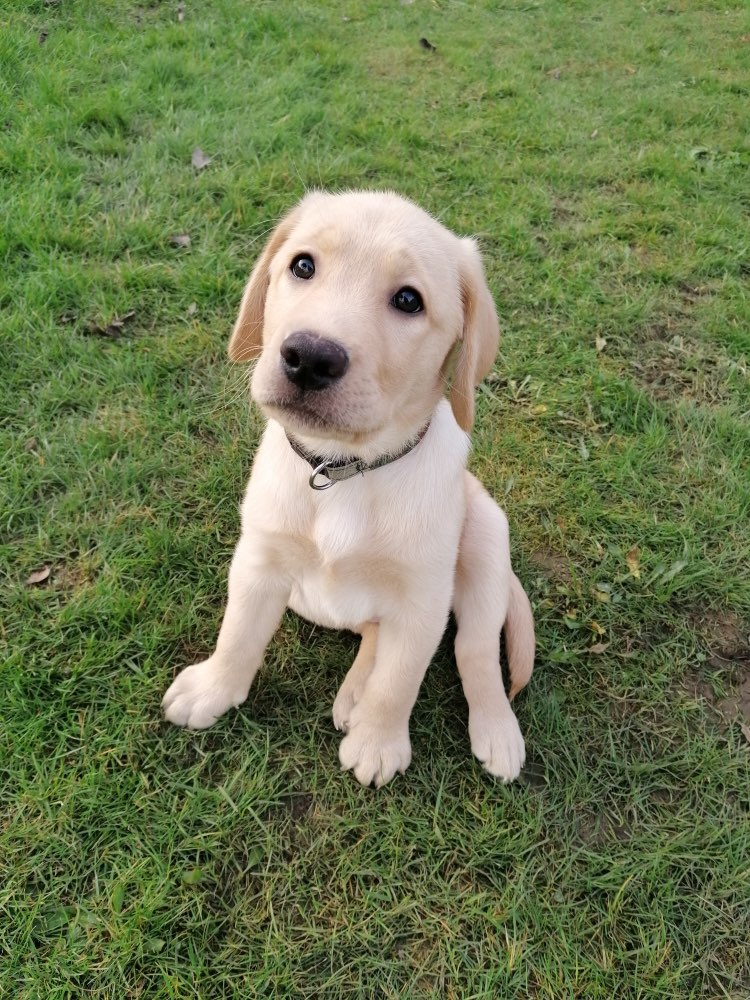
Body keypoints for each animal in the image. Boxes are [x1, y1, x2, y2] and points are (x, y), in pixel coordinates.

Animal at [162, 191, 536, 788]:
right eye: (302, 266)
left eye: (408, 300)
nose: (310, 357)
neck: (345, 469)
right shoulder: (258, 561)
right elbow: (238, 634)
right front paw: (212, 689)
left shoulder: (422, 600)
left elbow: (399, 682)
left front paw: (378, 742)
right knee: (372, 630)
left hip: (483, 540)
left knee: (473, 650)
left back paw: (495, 729)